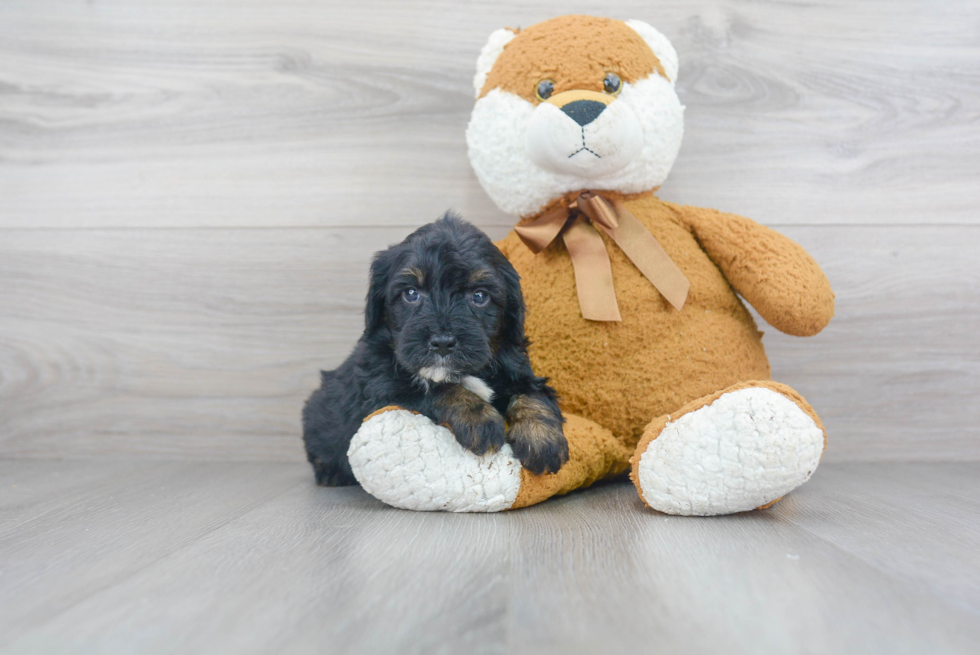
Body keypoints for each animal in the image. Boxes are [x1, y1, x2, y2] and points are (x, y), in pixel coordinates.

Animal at [302, 215, 572, 486]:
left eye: (479, 296)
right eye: (411, 293)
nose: (442, 342)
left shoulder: (519, 368)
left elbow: (532, 394)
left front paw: (541, 438)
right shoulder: (381, 388)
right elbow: (436, 388)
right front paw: (479, 419)